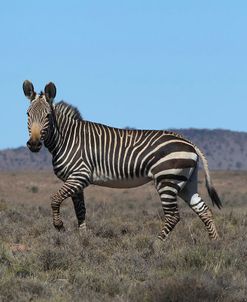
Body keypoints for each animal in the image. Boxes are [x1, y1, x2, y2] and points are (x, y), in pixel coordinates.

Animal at [23, 79, 222, 241]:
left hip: (167, 180)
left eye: (48, 116)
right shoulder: (74, 181)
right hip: (186, 182)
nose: (33, 144)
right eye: (27, 114)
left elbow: (54, 198)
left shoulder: (80, 176)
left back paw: (156, 245)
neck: (67, 139)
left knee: (173, 216)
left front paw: (59, 226)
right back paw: (214, 243)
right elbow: (80, 211)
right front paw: (83, 239)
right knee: (204, 210)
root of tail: (190, 144)